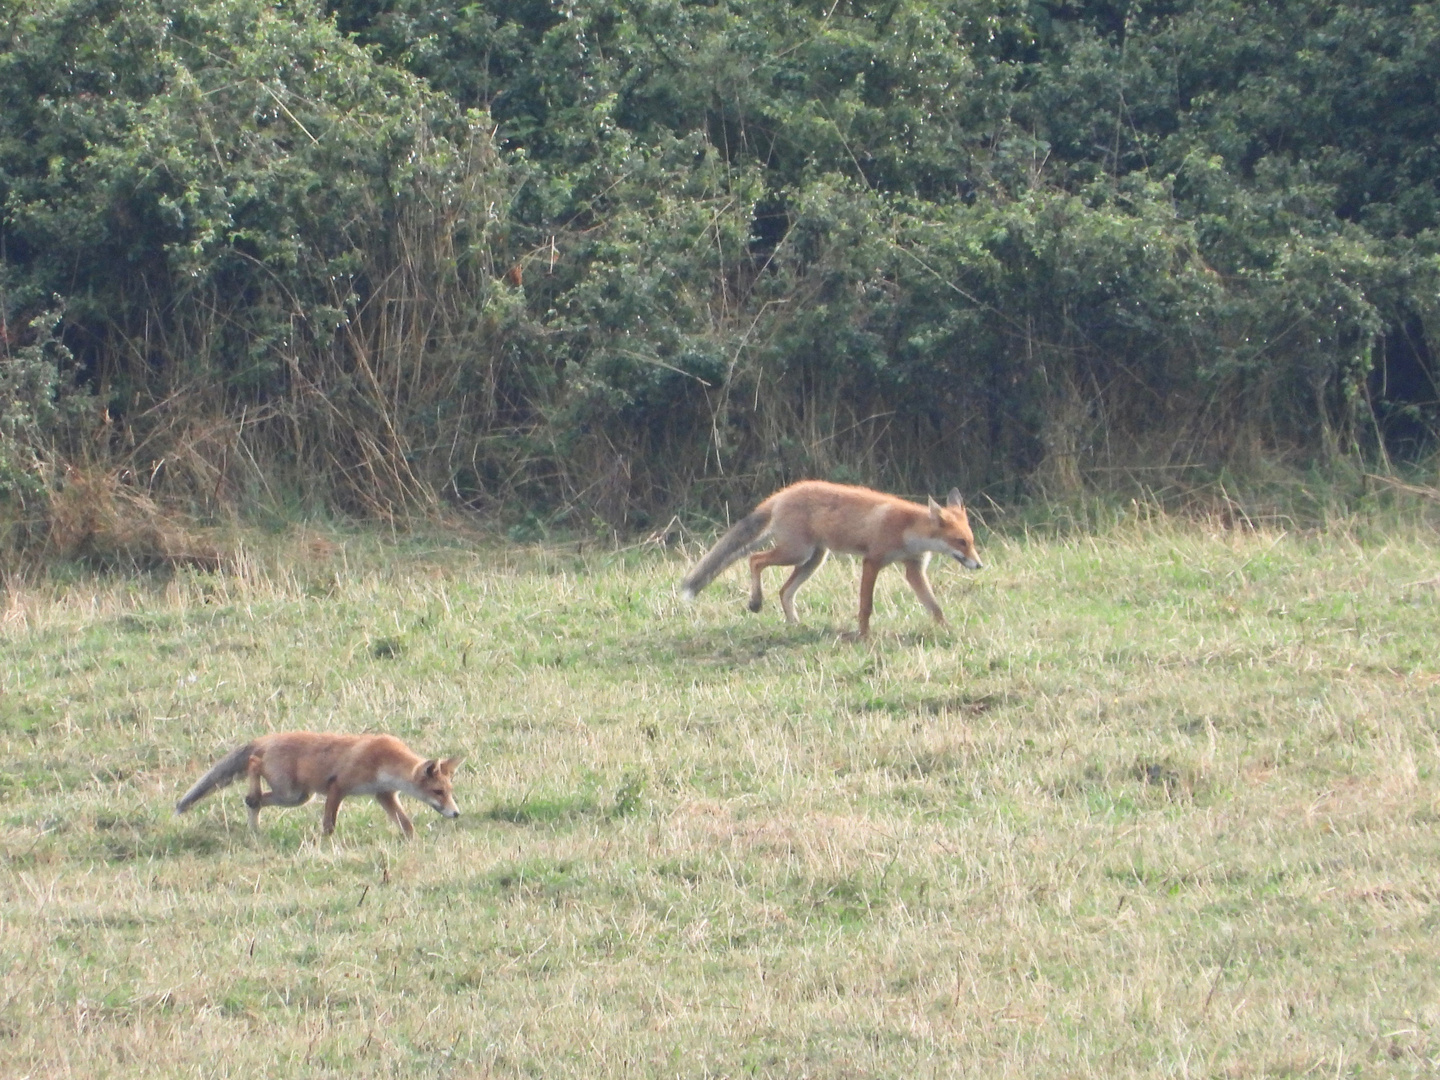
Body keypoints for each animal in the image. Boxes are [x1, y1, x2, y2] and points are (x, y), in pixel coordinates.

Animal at [172, 731, 460, 840]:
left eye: (449, 792)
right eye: (438, 792)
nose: (456, 813)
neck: (383, 761)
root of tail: (267, 739)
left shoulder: (384, 795)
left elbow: (406, 823)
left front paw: (412, 841)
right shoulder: (338, 786)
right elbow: (329, 823)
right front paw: (327, 842)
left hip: (296, 797)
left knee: (255, 800)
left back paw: (254, 824)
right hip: (291, 792)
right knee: (253, 764)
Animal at [682, 480, 979, 639]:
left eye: (972, 541)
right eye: (961, 542)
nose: (979, 565)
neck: (908, 530)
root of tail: (782, 493)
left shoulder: (914, 569)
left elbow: (934, 606)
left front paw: (948, 630)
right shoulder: (872, 561)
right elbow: (866, 606)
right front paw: (864, 637)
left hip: (814, 559)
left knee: (784, 590)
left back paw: (794, 624)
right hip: (796, 552)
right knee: (755, 559)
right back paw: (756, 602)